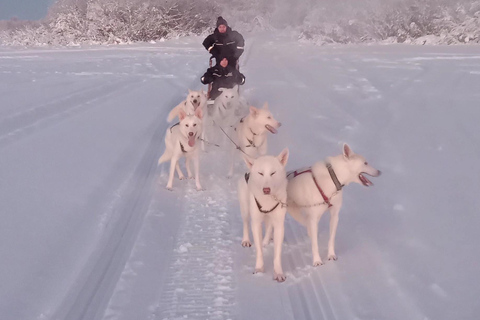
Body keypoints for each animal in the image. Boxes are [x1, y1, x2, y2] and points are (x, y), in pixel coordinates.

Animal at [239, 149, 290, 282]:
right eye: (261, 173)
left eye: (273, 173)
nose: (266, 190)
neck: (267, 201)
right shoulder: (256, 223)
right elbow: (259, 250)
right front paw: (259, 269)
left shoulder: (279, 224)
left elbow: (277, 253)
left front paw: (278, 273)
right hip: (246, 209)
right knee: (245, 223)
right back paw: (246, 240)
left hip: (270, 218)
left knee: (268, 227)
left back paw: (267, 239)